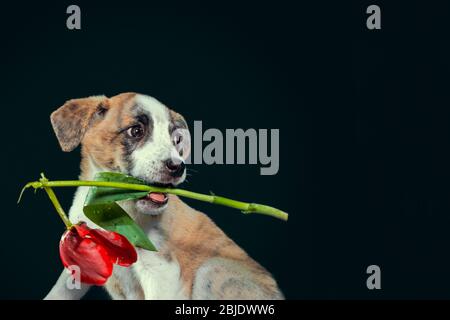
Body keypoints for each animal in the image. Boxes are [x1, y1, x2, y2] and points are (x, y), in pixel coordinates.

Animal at [44, 92, 284, 300]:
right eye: (136, 131)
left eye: (176, 139)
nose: (177, 167)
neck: (108, 206)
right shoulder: (82, 259)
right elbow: (58, 292)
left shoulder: (160, 270)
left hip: (210, 270)